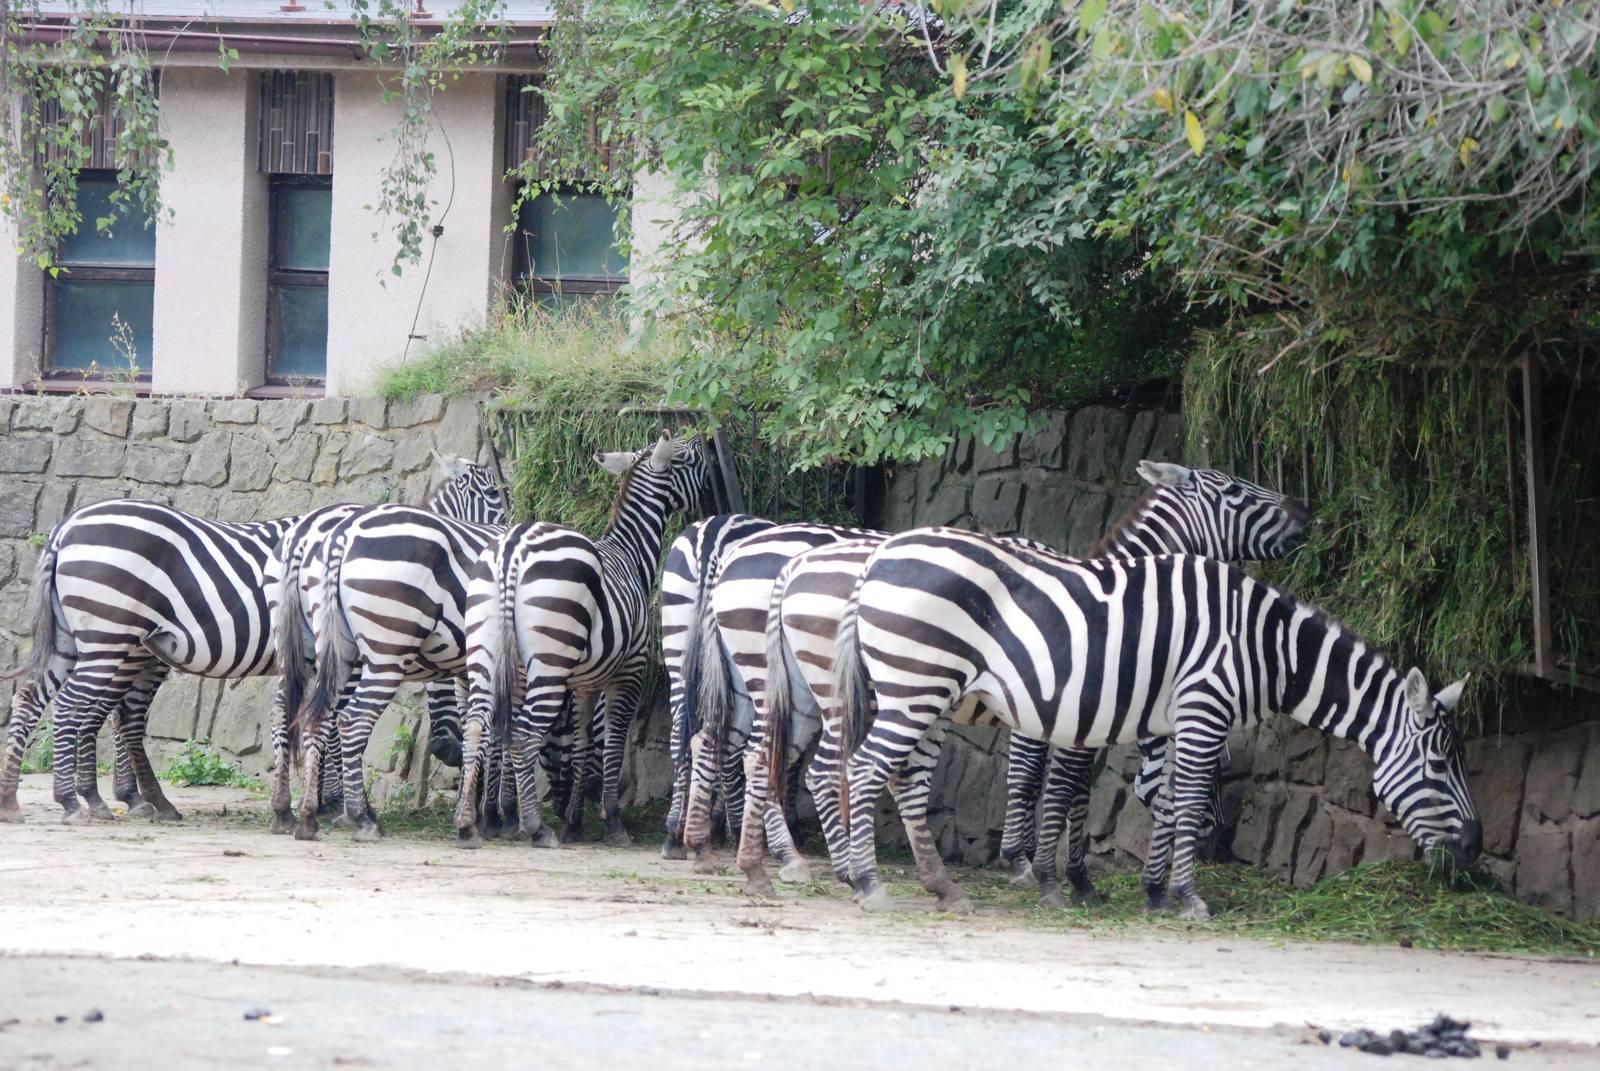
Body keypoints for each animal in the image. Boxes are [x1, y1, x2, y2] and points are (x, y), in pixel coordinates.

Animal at [453, 431, 711, 848]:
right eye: (686, 456)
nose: (706, 439)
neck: (630, 554)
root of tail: (512, 549)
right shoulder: (629, 671)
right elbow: (612, 744)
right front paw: (612, 821)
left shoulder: (585, 684)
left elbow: (581, 744)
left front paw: (574, 821)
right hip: (549, 664)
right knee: (524, 735)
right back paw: (535, 827)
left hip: (489, 657)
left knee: (477, 726)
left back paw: (467, 823)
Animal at [829, 533, 1482, 919]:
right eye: (1439, 764)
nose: (1475, 847)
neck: (1264, 647)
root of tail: (878, 556)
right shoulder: (1204, 705)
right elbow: (1187, 804)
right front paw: (1188, 897)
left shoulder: (1173, 721)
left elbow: (1167, 804)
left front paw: (1155, 891)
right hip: (918, 683)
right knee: (863, 769)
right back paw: (867, 884)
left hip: (930, 693)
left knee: (902, 782)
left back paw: (943, 889)